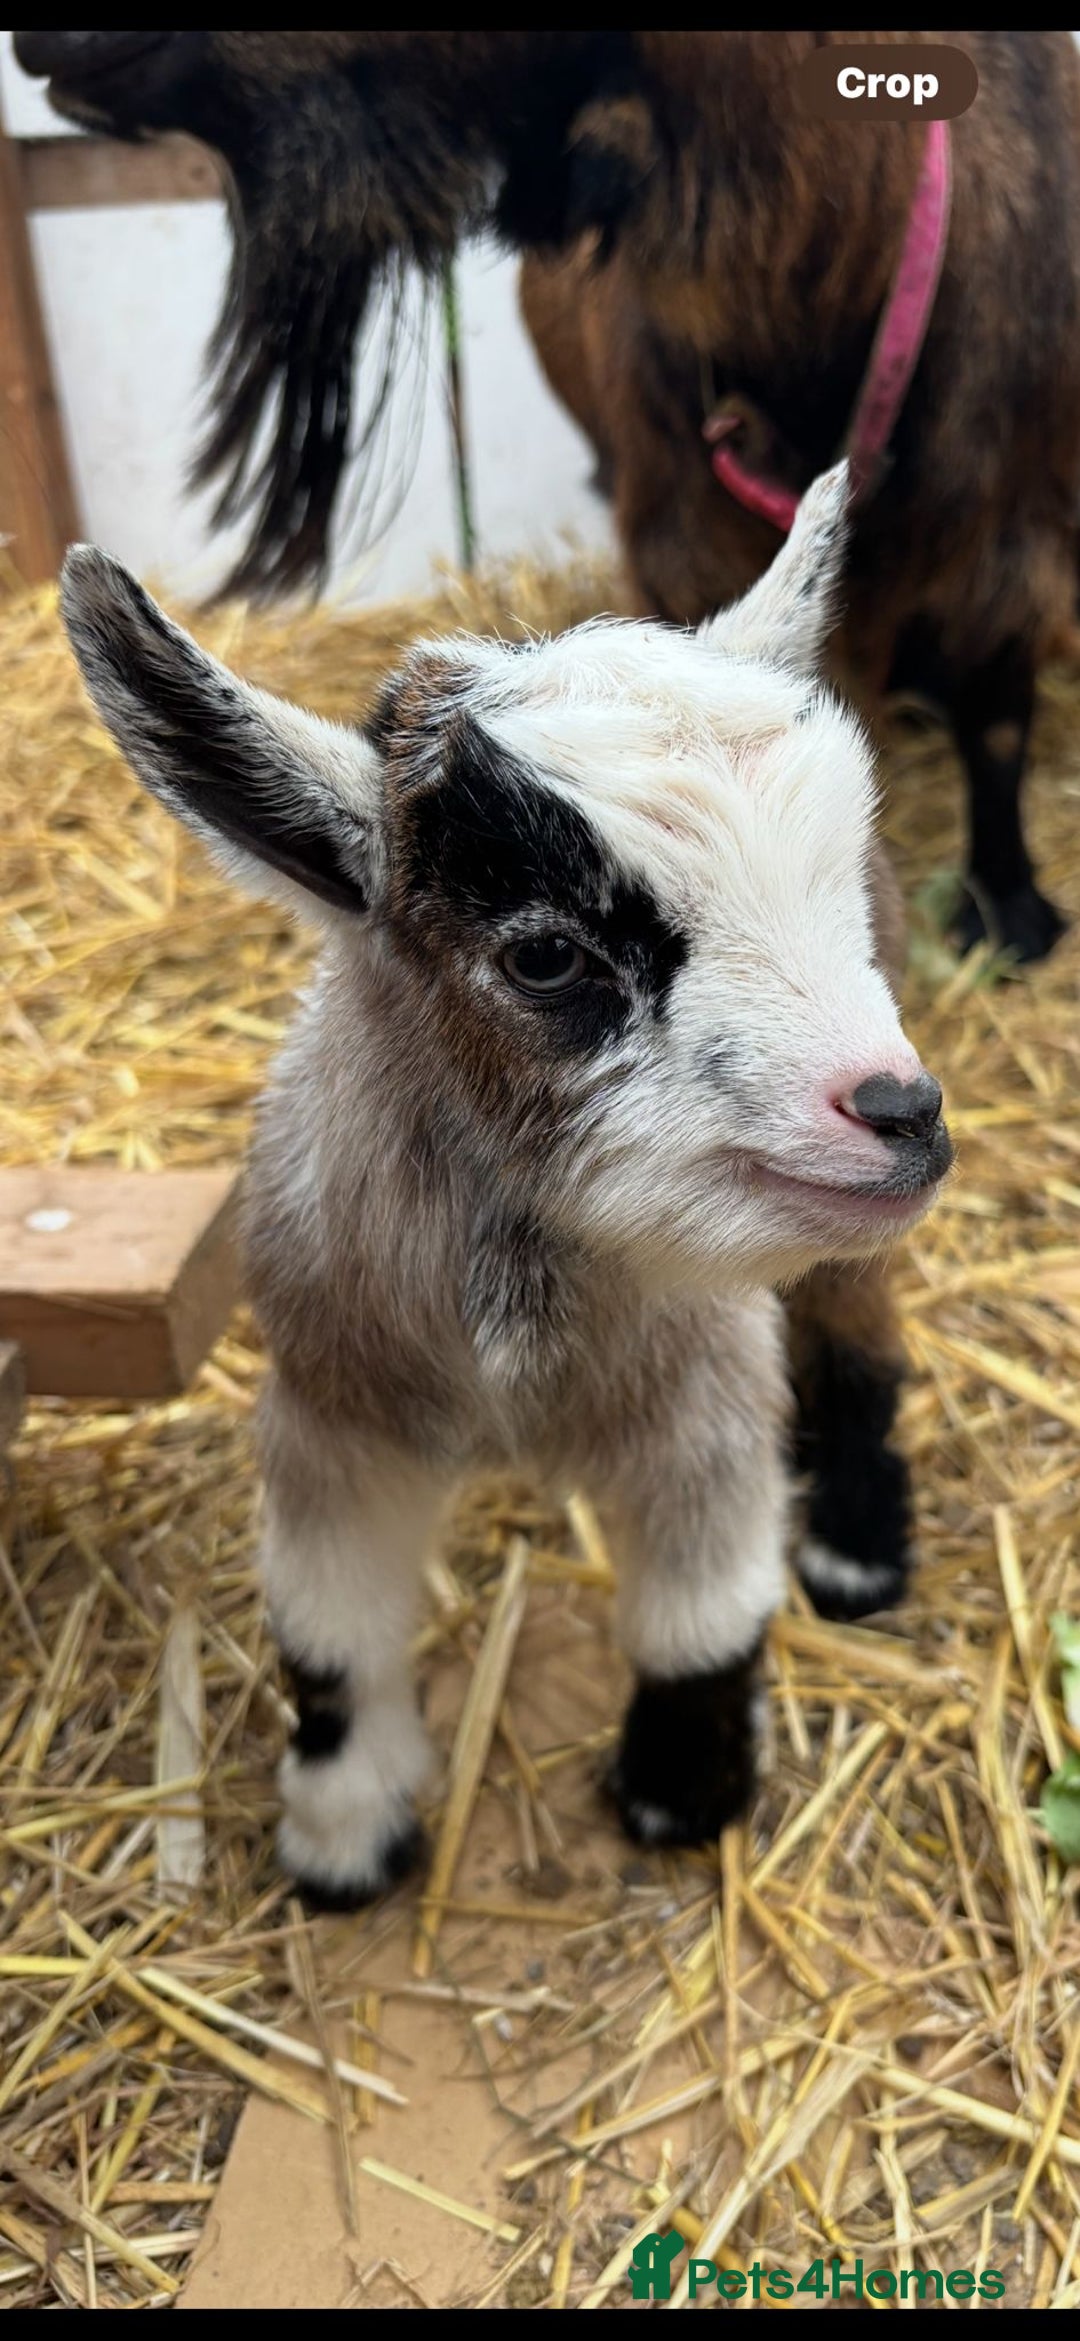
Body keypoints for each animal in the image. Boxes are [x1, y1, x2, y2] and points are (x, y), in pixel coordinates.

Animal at [61, 468, 952, 1903]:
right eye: (544, 957)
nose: (899, 1113)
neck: (515, 1348)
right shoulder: (333, 1413)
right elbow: (328, 1629)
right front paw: (343, 1832)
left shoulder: (702, 1399)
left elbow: (700, 1616)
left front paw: (682, 1791)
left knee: (858, 1319)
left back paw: (858, 1538)